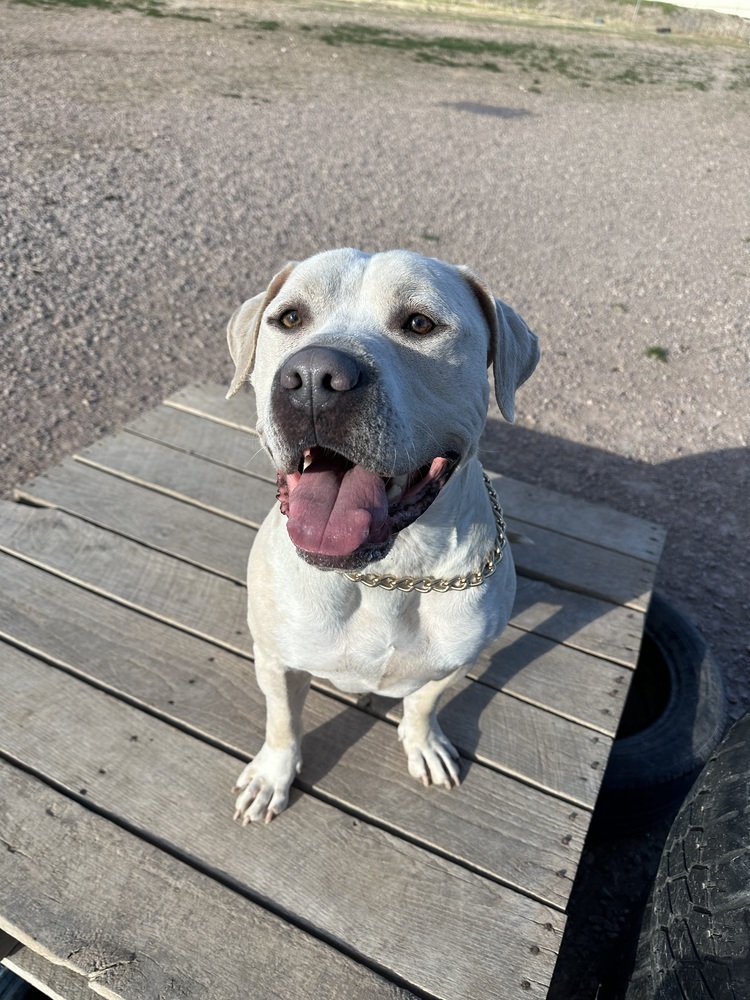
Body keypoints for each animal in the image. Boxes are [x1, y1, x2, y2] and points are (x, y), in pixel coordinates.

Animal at [225, 248, 540, 820]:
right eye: (289, 318)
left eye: (419, 323)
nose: (314, 376)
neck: (391, 575)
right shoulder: (278, 661)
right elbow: (283, 722)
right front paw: (272, 775)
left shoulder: (455, 661)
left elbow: (423, 702)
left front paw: (423, 742)